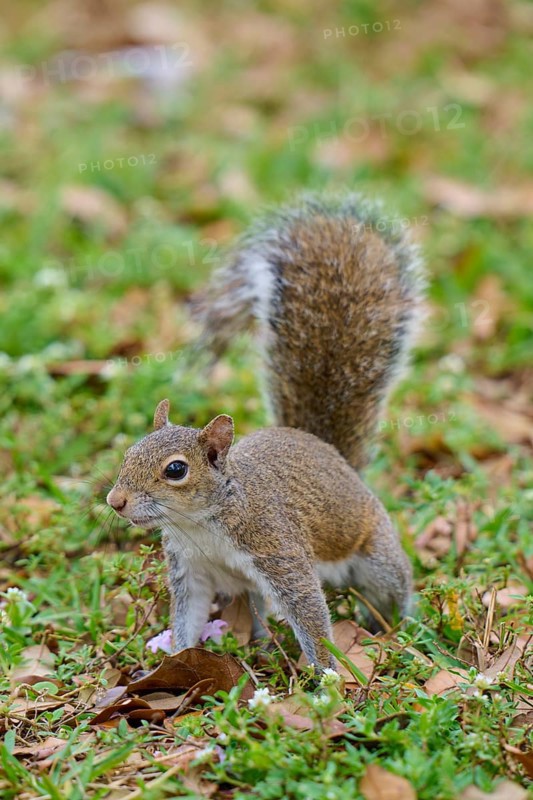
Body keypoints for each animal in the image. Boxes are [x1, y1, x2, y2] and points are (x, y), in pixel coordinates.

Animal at [106, 193, 424, 670]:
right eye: (129, 452)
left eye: (176, 470)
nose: (115, 501)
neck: (202, 525)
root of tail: (328, 451)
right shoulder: (191, 571)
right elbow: (188, 616)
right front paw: (178, 656)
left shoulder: (278, 548)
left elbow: (309, 612)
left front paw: (327, 675)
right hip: (251, 592)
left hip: (375, 555)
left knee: (393, 586)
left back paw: (402, 625)